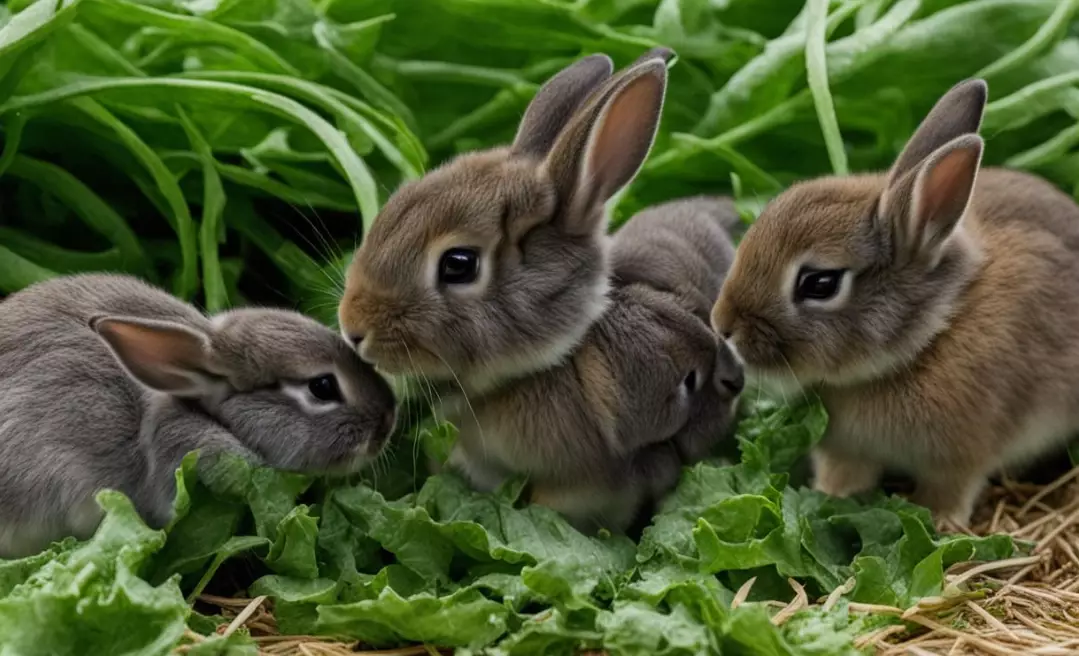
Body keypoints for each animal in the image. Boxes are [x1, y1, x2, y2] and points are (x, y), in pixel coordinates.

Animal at [712, 78, 1079, 528]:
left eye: (820, 283)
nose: (723, 325)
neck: (930, 335)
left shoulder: (962, 457)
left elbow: (951, 489)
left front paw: (940, 522)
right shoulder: (847, 450)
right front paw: (831, 494)